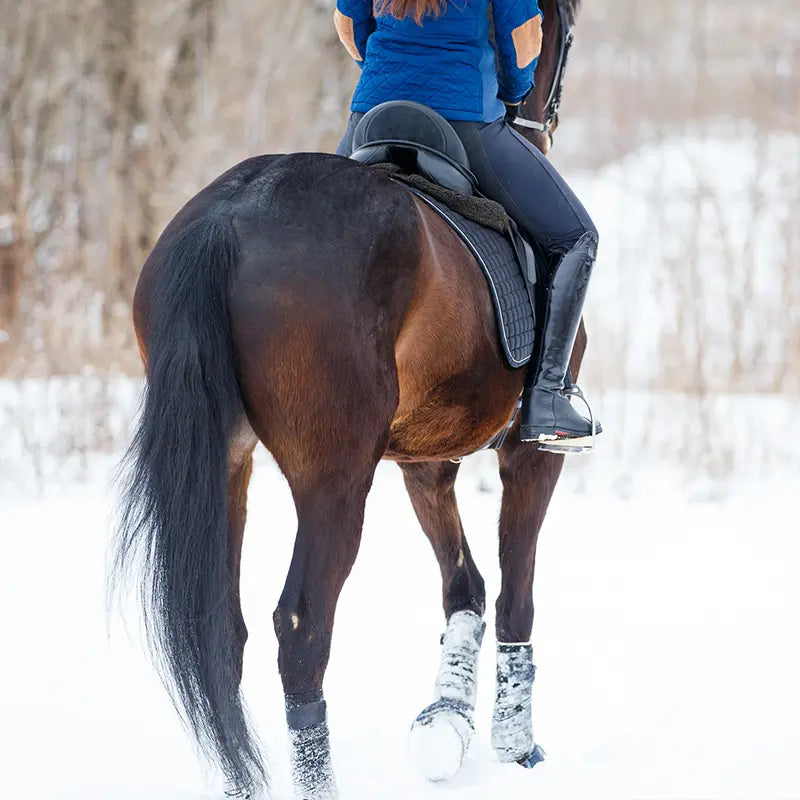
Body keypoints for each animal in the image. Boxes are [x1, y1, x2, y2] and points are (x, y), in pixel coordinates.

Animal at [113, 1, 586, 797]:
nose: (540, 114)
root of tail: (229, 219)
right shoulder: (529, 453)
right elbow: (513, 594)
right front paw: (513, 742)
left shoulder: (424, 461)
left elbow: (463, 587)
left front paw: (445, 725)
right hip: (333, 475)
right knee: (303, 628)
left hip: (227, 462)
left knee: (223, 629)